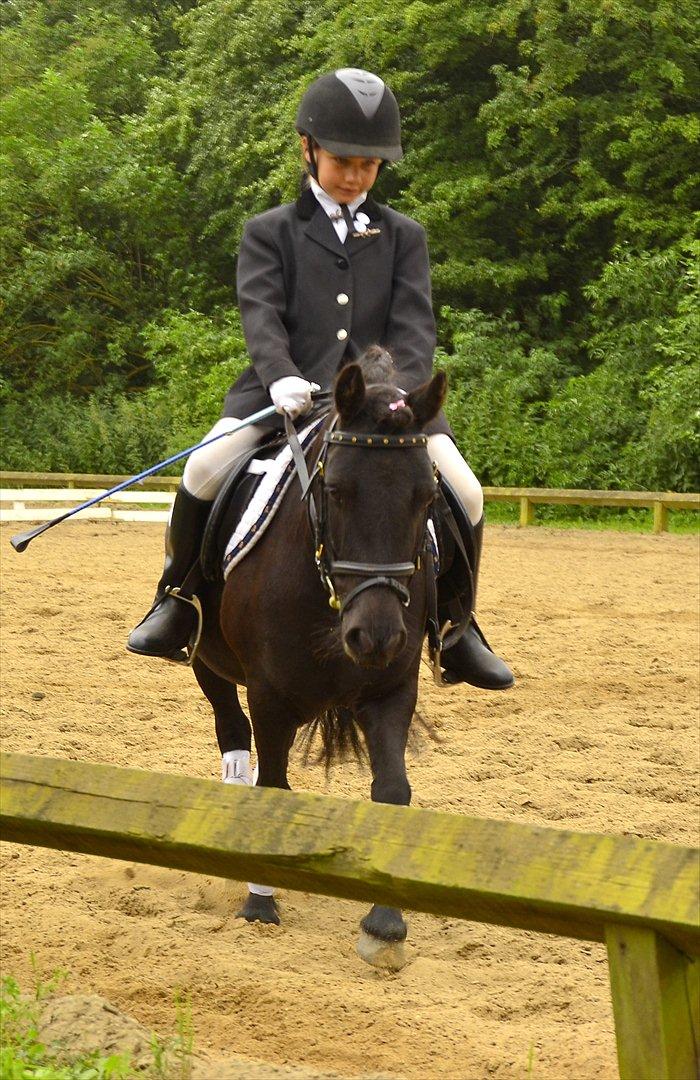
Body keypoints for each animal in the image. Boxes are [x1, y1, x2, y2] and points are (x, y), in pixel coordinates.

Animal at [193, 346, 447, 967]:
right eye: (337, 491)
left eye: (426, 498)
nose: (375, 636)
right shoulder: (269, 695)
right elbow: (273, 786)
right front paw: (260, 903)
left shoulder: (390, 691)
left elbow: (392, 790)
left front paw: (384, 924)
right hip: (208, 661)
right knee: (232, 737)